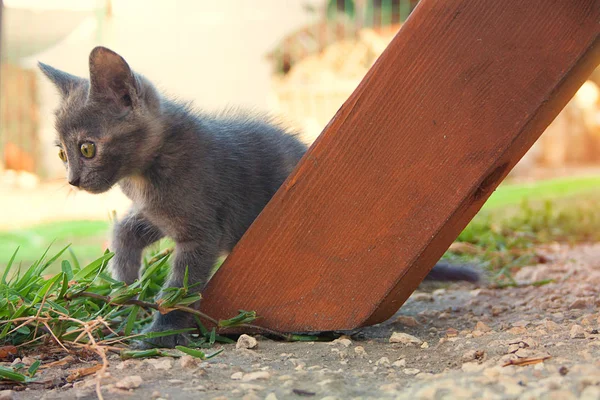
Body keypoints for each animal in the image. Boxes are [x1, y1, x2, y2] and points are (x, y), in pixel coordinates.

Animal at [38, 46, 478, 346]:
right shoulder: (154, 214)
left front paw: (160, 333)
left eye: (87, 149)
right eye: (61, 153)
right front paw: (123, 289)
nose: (73, 180)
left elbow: (179, 287)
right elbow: (123, 232)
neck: (145, 173)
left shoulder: (201, 231)